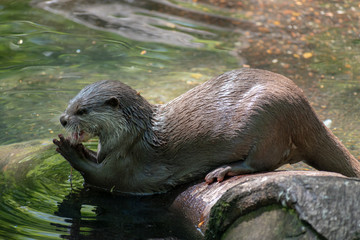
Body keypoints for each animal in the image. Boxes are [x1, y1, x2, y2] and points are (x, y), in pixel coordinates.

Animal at [52, 68, 360, 195]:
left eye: (83, 110)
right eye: (71, 102)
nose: (63, 119)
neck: (134, 136)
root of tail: (304, 107)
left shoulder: (129, 164)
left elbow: (102, 178)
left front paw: (67, 148)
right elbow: (95, 164)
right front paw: (78, 147)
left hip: (268, 117)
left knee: (264, 162)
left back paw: (223, 170)